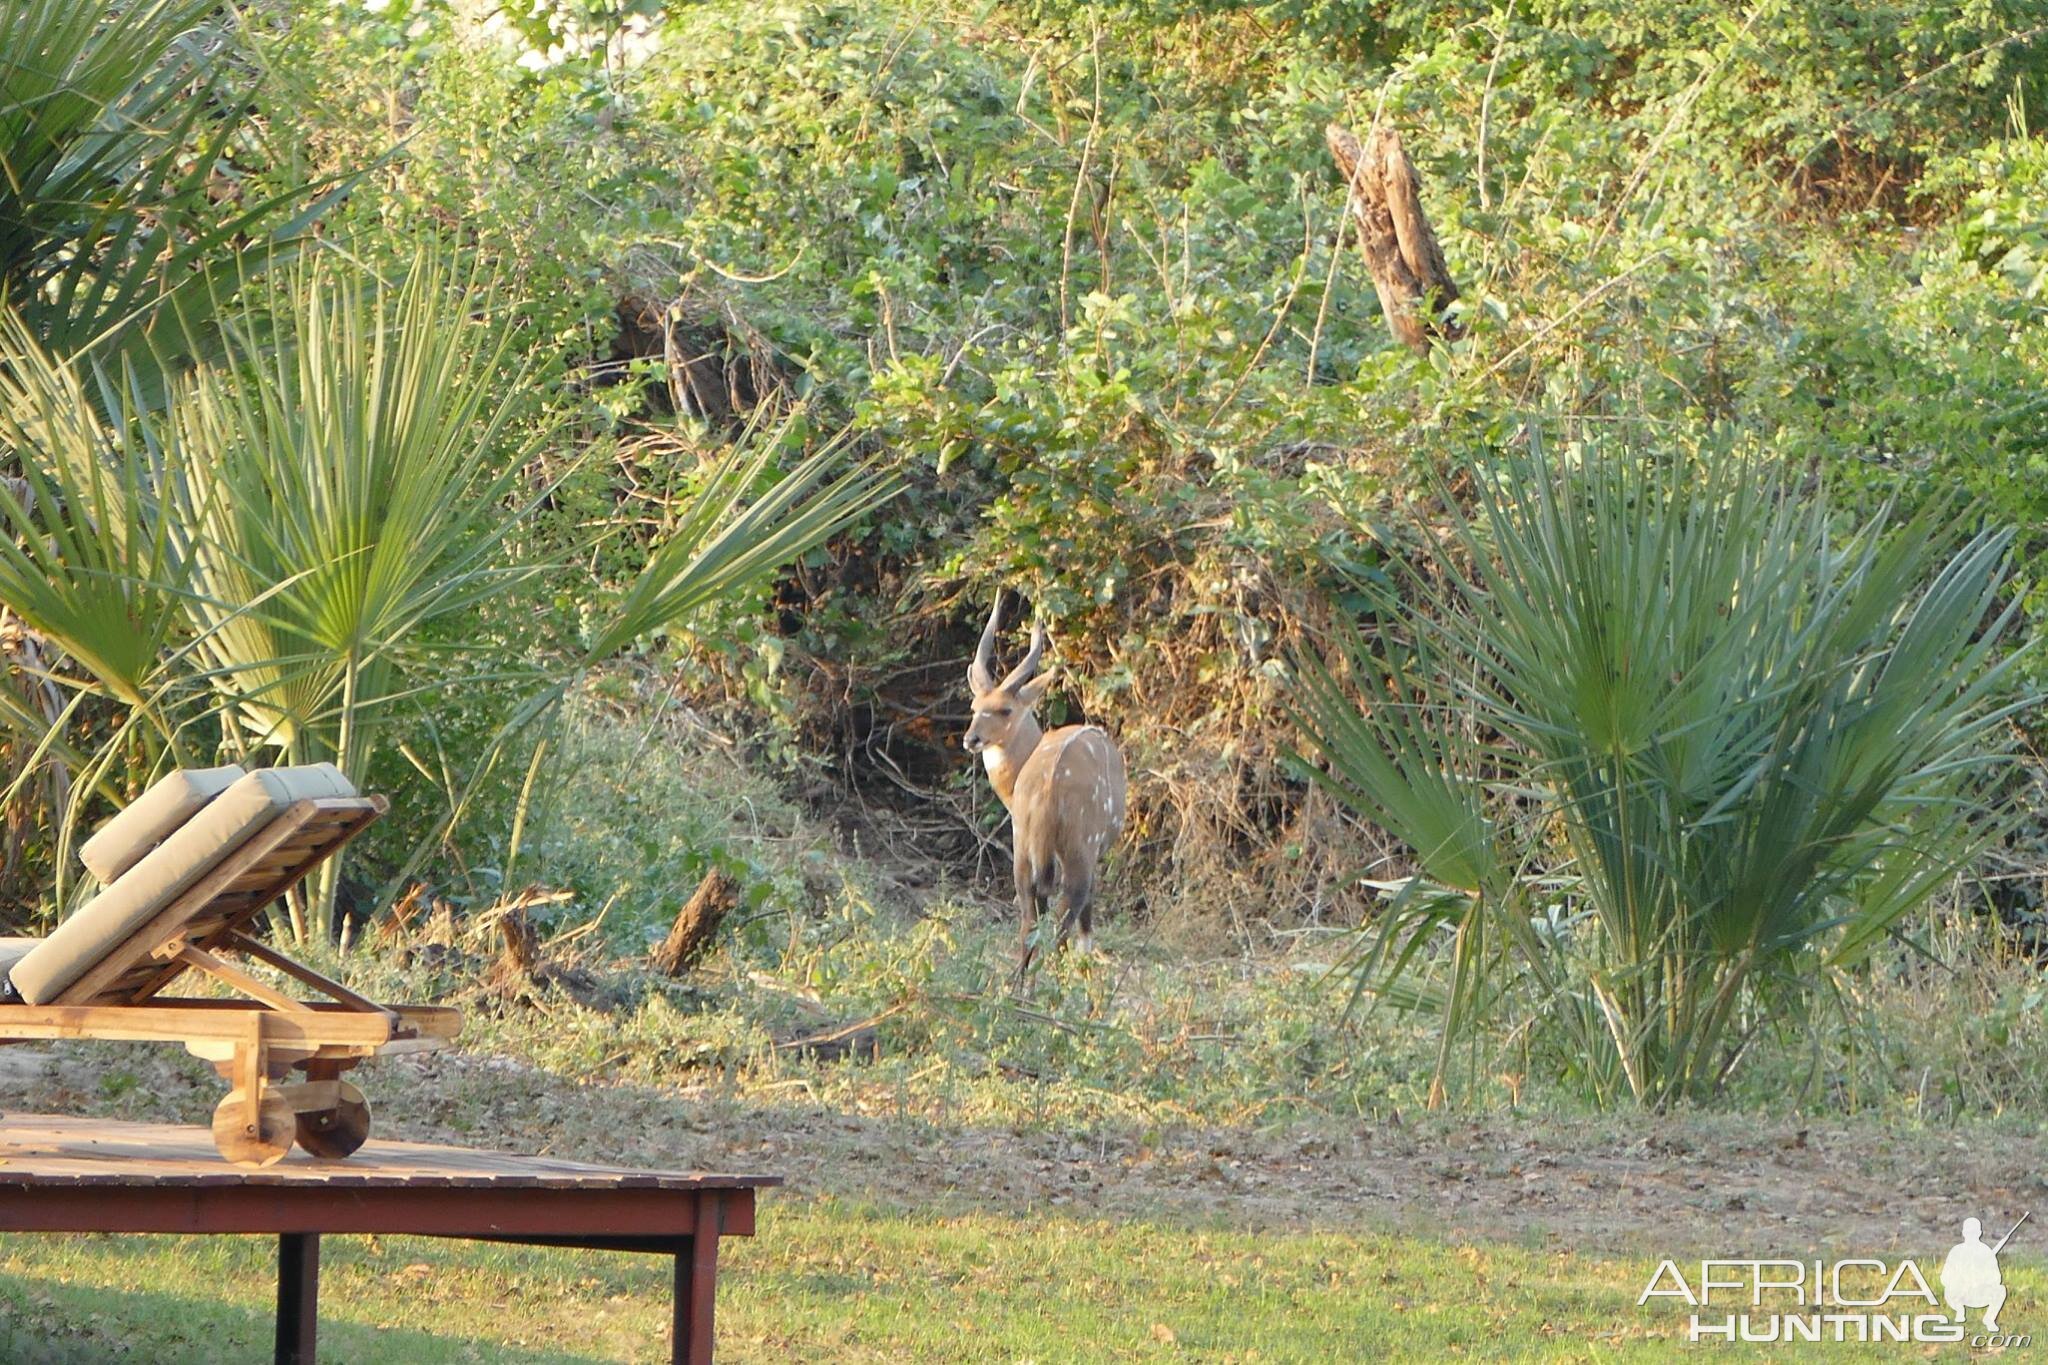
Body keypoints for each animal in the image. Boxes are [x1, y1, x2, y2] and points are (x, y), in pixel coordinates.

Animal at [962, 593, 1130, 978]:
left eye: (1005, 710)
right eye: (975, 706)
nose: (971, 739)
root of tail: (1049, 790)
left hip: (1024, 854)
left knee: (1028, 925)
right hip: (1079, 852)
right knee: (1062, 924)